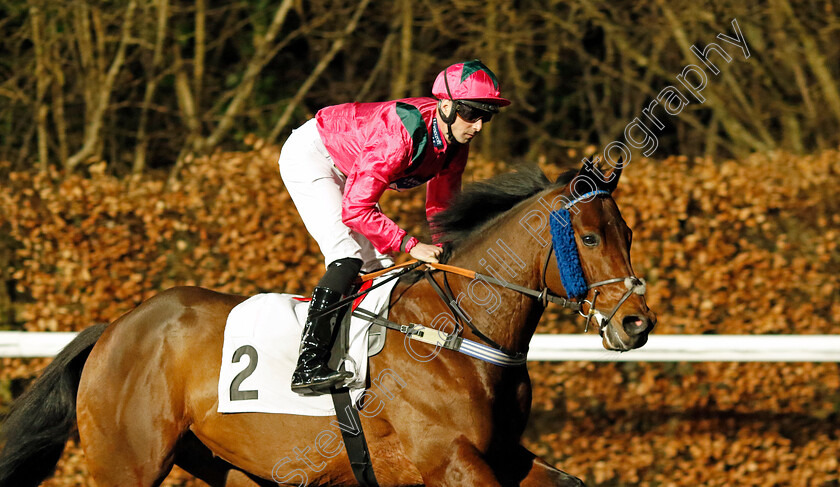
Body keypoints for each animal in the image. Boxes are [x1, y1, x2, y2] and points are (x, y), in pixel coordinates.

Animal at [0, 162, 656, 486]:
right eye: (590, 237)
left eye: (628, 233)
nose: (636, 324)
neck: (459, 332)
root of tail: (116, 326)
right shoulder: (449, 460)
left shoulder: (501, 454)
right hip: (127, 462)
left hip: (237, 467)